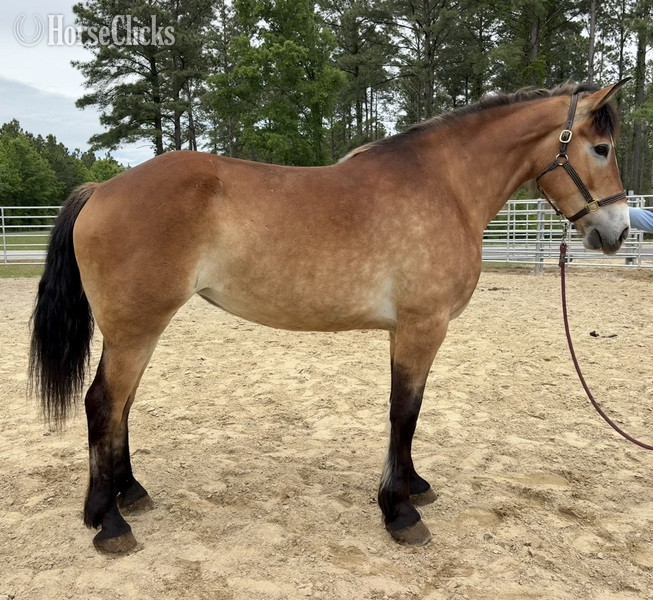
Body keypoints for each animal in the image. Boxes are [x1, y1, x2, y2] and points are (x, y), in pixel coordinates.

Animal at [29, 80, 630, 553]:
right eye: (600, 148)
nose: (618, 232)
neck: (444, 185)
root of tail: (102, 189)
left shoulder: (408, 331)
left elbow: (405, 412)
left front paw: (412, 486)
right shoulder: (423, 326)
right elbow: (405, 413)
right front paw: (399, 512)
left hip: (137, 331)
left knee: (121, 407)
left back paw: (131, 493)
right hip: (135, 329)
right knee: (103, 405)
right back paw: (109, 521)